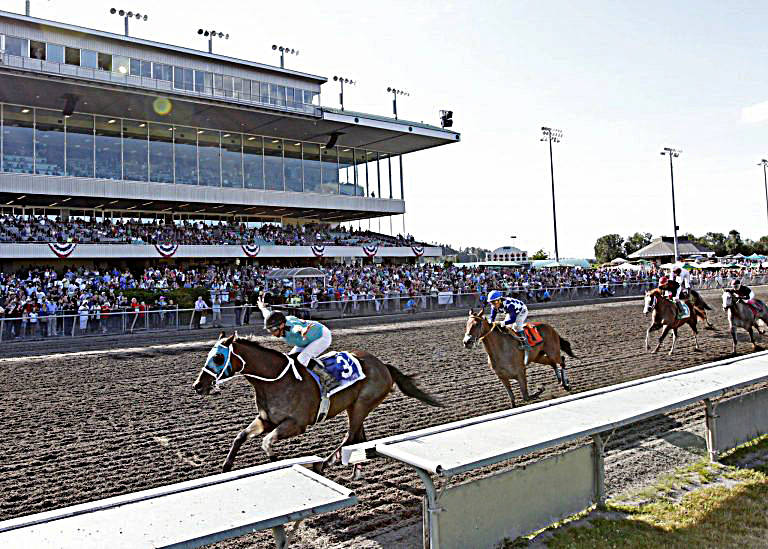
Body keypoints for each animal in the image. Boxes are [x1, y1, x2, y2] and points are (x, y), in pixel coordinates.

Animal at [194, 330, 444, 476]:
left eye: (218, 357)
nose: (198, 385)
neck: (275, 381)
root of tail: (383, 365)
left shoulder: (296, 424)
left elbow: (266, 442)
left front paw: (275, 460)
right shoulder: (266, 420)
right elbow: (240, 436)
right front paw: (226, 468)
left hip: (362, 404)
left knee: (349, 437)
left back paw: (324, 464)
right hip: (355, 406)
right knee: (358, 437)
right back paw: (355, 469)